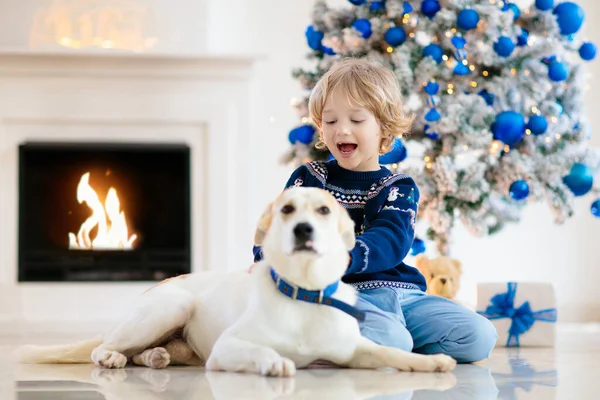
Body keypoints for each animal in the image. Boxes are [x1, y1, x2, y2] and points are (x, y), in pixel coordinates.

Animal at [16, 188, 458, 376]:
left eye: (324, 211)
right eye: (286, 209)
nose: (302, 229)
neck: (304, 293)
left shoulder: (353, 350)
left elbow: (392, 353)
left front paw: (430, 362)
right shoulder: (228, 347)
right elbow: (260, 351)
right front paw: (275, 361)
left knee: (144, 353)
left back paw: (154, 357)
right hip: (171, 307)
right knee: (104, 347)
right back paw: (113, 357)